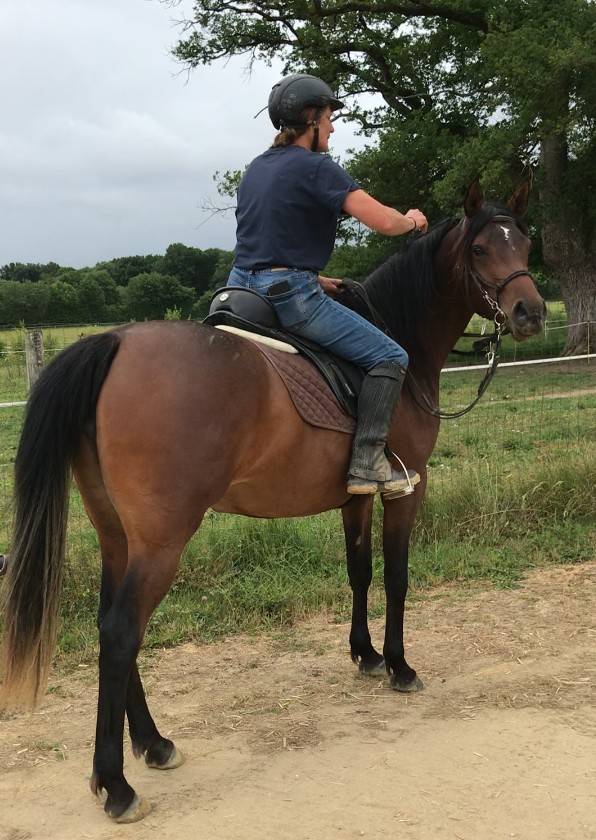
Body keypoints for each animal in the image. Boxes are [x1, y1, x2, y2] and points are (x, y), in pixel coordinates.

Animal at [0, 181, 545, 822]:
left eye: (525, 241)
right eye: (482, 248)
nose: (531, 312)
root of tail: (113, 341)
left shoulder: (356, 498)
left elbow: (358, 573)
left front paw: (365, 655)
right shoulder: (408, 490)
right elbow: (396, 578)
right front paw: (400, 665)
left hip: (117, 534)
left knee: (112, 622)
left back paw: (153, 744)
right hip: (161, 541)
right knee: (119, 633)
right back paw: (117, 784)